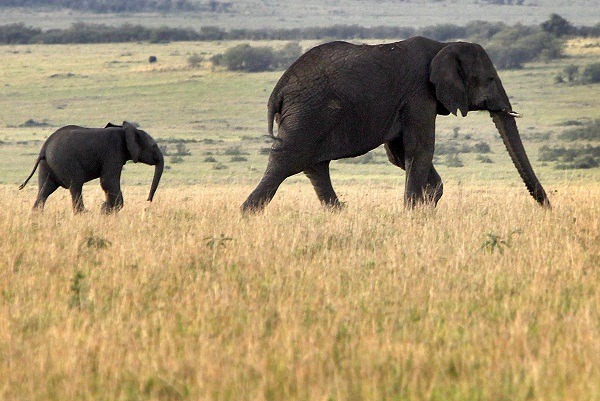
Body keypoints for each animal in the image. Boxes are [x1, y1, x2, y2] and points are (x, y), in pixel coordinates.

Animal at [19, 120, 164, 212]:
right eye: (153, 147)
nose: (148, 200)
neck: (124, 131)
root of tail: (44, 148)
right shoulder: (113, 152)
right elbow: (108, 181)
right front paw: (107, 210)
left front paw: (106, 208)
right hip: (65, 162)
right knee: (75, 185)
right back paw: (84, 213)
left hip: (47, 165)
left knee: (45, 189)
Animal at [241, 37, 552, 211]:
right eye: (489, 79)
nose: (549, 209)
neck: (443, 47)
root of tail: (278, 90)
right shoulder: (419, 93)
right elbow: (419, 149)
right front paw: (413, 214)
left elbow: (400, 155)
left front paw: (426, 206)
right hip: (307, 113)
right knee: (286, 161)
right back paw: (248, 214)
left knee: (315, 167)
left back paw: (339, 215)